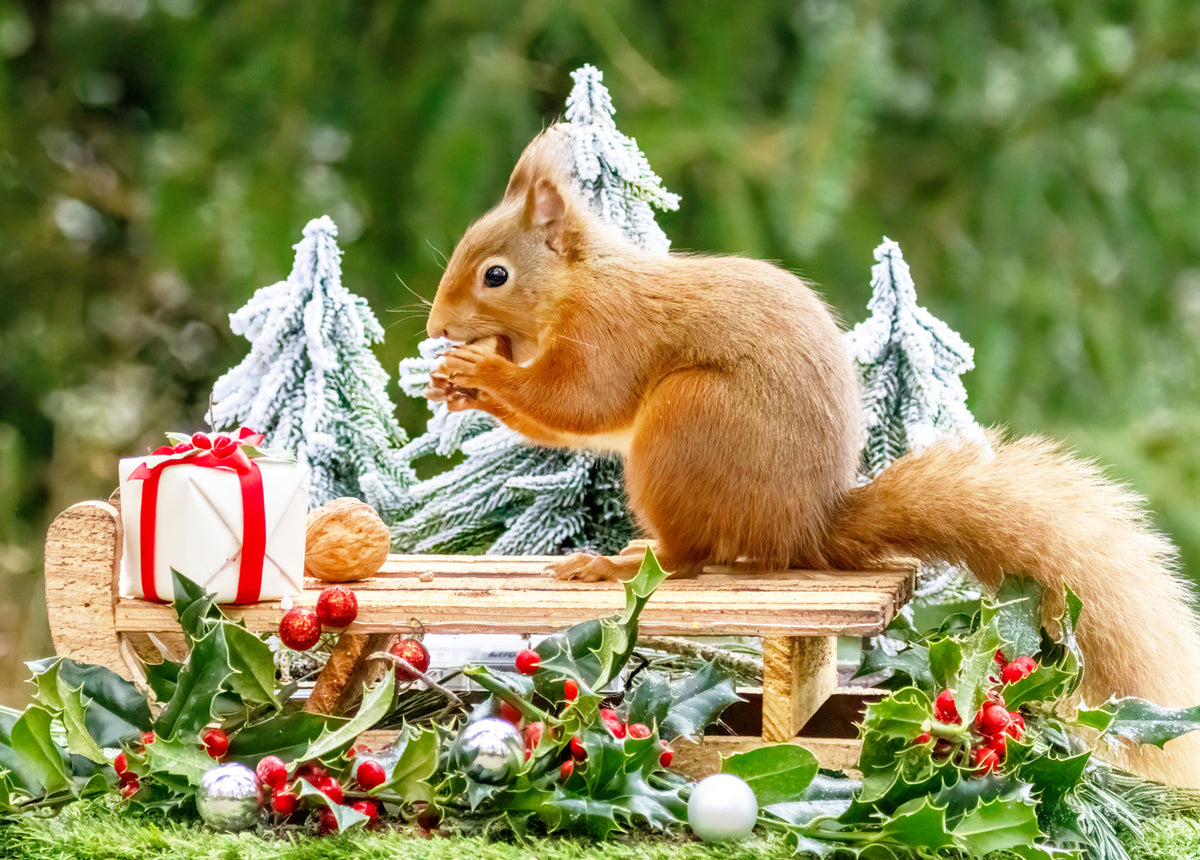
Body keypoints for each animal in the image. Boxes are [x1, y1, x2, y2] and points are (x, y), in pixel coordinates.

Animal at [423, 125, 1200, 788]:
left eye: (495, 276)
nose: (437, 327)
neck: (578, 283)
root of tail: (803, 528)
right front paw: (456, 384)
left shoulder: (605, 334)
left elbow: (578, 404)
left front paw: (483, 374)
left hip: (683, 424)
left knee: (687, 559)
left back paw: (616, 563)